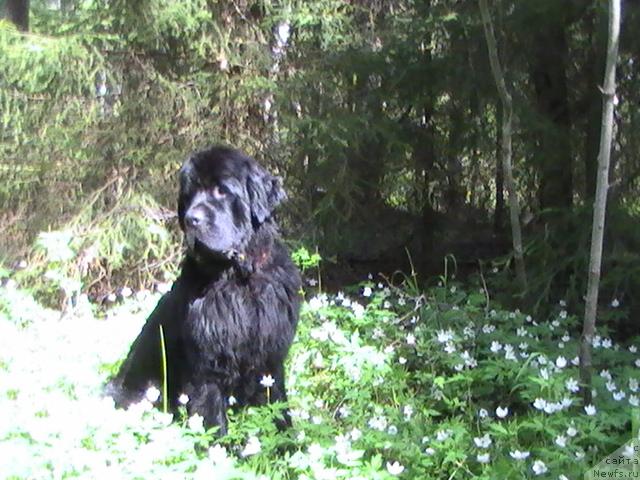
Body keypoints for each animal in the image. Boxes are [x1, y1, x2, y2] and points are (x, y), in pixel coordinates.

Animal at [106, 144, 302, 434]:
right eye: (189, 194)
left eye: (221, 190)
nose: (191, 220)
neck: (238, 276)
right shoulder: (208, 363)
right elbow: (210, 412)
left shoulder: (271, 357)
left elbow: (277, 403)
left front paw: (286, 441)